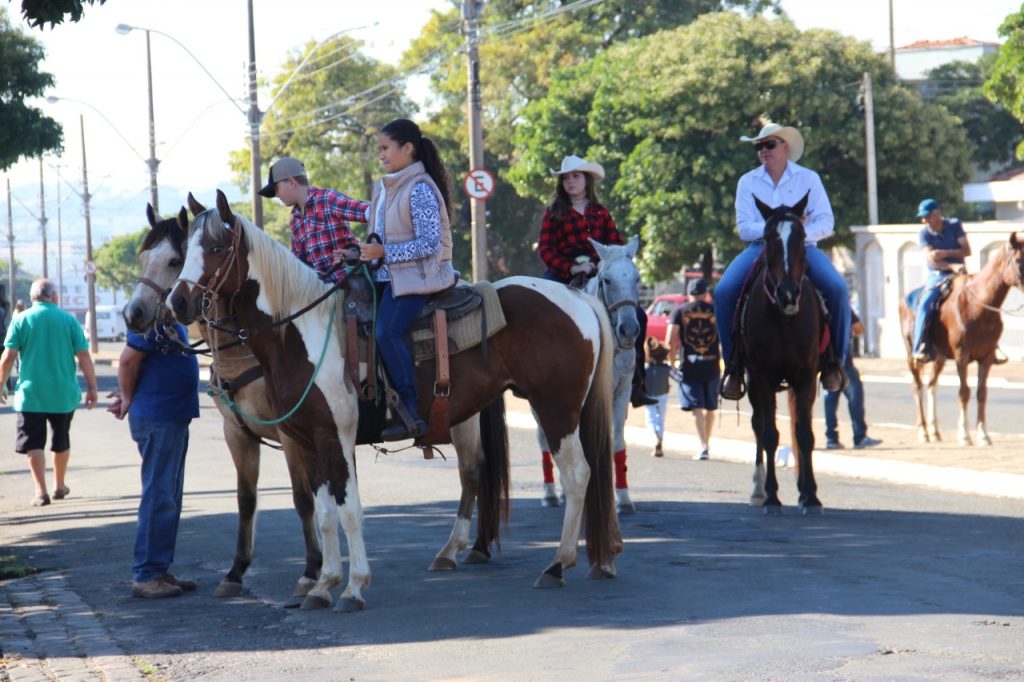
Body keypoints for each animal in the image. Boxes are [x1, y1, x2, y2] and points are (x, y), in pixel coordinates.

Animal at [165, 191, 622, 610]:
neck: (301, 331)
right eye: (185, 249)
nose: (176, 303)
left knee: (577, 474)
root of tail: (576, 298)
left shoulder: (335, 437)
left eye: (217, 247)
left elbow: (349, 509)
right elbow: (324, 513)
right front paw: (322, 585)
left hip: (557, 408)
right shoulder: (309, 440)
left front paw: (352, 587)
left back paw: (557, 565)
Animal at [737, 193, 823, 512]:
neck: (784, 320)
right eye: (768, 238)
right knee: (758, 426)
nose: (788, 293)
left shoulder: (807, 376)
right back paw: (758, 490)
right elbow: (770, 434)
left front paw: (811, 496)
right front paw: (772, 496)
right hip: (752, 382)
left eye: (802, 236)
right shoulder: (761, 376)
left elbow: (804, 435)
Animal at [897, 232, 1024, 446]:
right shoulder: (961, 357)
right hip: (911, 355)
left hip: (938, 358)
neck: (978, 306)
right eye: (1017, 260)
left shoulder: (986, 358)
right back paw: (923, 432)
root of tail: (904, 299)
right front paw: (964, 435)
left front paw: (983, 435)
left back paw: (935, 432)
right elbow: (964, 393)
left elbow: (982, 393)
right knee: (917, 386)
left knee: (932, 384)